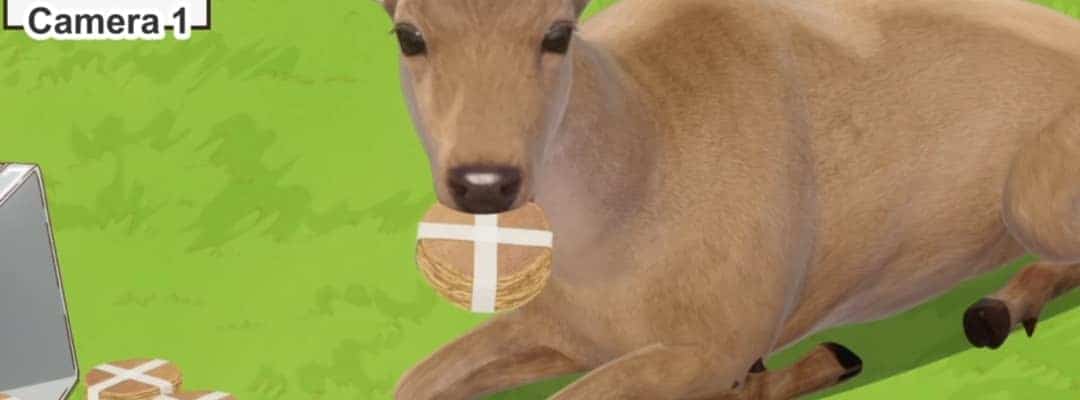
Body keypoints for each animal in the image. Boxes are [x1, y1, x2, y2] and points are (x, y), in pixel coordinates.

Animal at [379, 0, 1080, 398]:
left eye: (557, 33)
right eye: (408, 35)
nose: (483, 182)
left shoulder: (706, 348)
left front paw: (813, 366)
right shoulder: (564, 329)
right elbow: (414, 379)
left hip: (1028, 196)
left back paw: (996, 310)